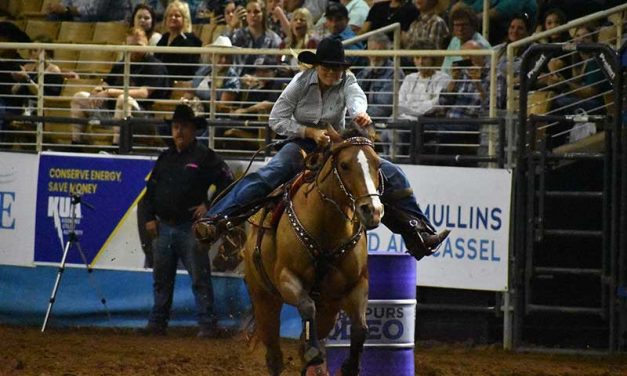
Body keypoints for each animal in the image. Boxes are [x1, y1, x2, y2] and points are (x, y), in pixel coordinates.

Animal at [244, 133, 382, 376]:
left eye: (378, 164)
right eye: (344, 165)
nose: (373, 211)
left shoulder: (356, 284)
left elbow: (361, 328)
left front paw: (349, 366)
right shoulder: (287, 278)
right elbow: (307, 306)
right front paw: (314, 352)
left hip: (329, 308)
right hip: (264, 298)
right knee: (274, 356)